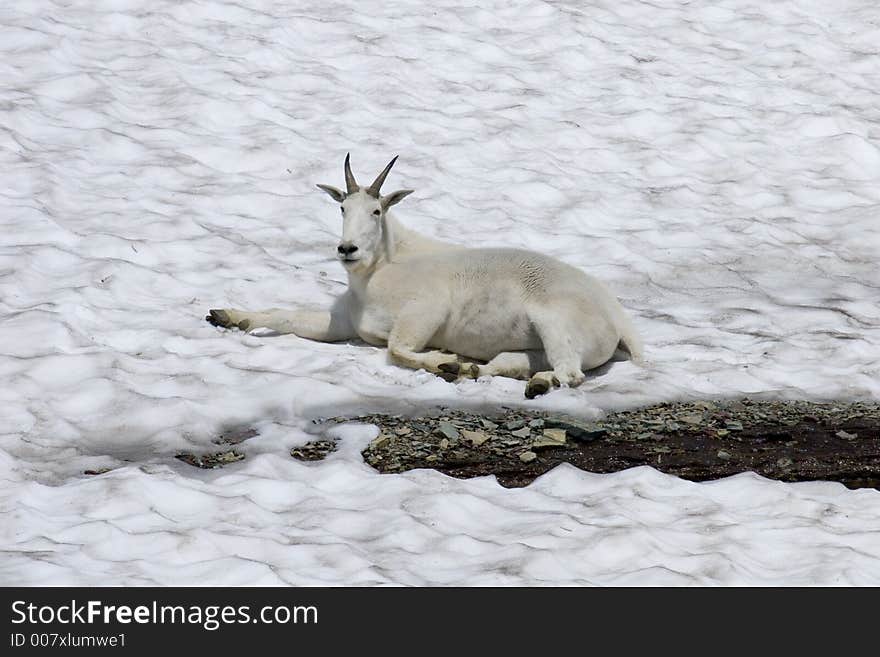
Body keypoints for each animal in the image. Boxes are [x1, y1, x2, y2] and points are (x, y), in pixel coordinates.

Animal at [210, 156, 644, 398]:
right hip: (533, 344)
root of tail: (618, 317)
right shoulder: (344, 323)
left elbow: (396, 349)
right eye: (342, 208)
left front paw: (442, 360)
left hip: (554, 322)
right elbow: (287, 317)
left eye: (376, 211)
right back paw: (477, 370)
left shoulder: (427, 310)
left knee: (570, 373)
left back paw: (531, 383)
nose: (347, 249)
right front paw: (227, 316)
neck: (380, 269)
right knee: (511, 361)